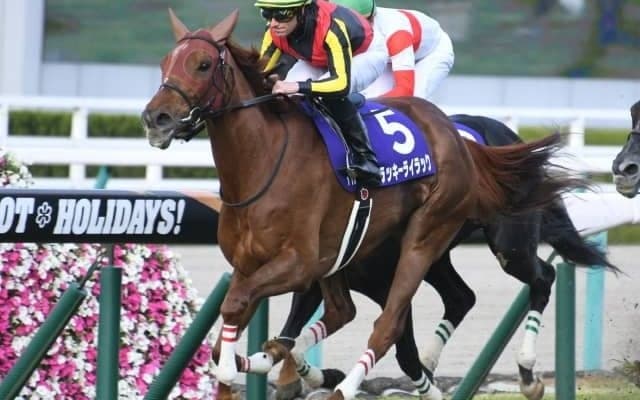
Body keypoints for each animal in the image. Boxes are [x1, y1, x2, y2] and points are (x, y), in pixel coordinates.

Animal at [252, 115, 619, 400]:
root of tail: (510, 137)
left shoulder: (389, 286)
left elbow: (402, 349)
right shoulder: (318, 278)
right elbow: (289, 334)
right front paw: (302, 376)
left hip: (507, 245)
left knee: (542, 278)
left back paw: (527, 374)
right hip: (437, 256)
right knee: (461, 296)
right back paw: (432, 361)